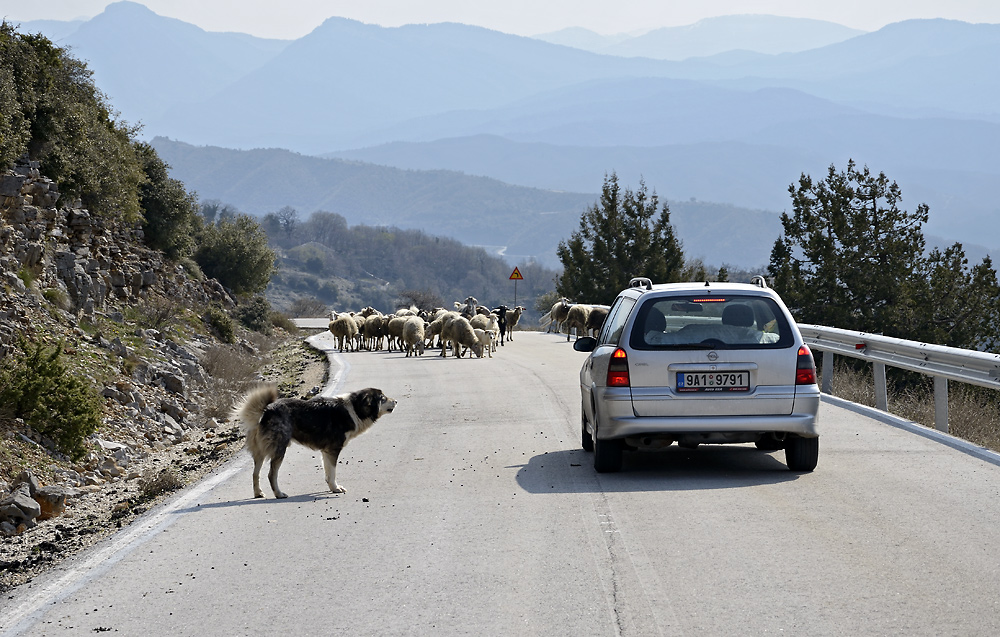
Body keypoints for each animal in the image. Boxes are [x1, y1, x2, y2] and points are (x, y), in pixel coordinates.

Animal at [232, 382, 396, 496]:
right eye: (383, 398)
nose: (396, 401)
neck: (355, 410)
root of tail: (267, 410)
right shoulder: (333, 450)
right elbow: (333, 472)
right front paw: (336, 488)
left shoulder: (326, 452)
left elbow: (328, 472)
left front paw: (332, 487)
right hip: (280, 449)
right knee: (271, 474)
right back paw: (279, 494)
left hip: (260, 453)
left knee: (255, 473)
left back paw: (258, 493)